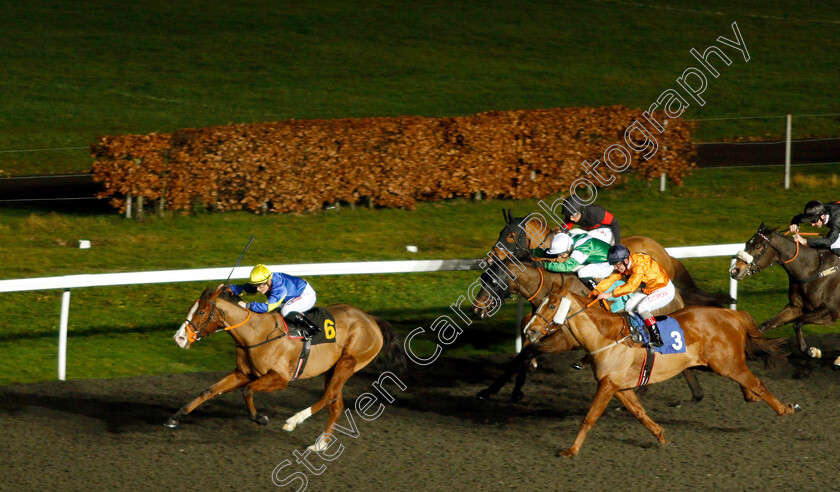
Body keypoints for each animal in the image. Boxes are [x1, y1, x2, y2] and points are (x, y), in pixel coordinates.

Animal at [168, 284, 404, 450]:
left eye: (201, 312)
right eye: (190, 309)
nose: (179, 338)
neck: (255, 332)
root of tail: (371, 319)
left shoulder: (280, 378)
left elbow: (248, 391)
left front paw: (259, 418)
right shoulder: (243, 373)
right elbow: (209, 390)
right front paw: (175, 417)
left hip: (348, 362)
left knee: (329, 396)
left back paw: (293, 421)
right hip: (332, 367)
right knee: (335, 403)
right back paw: (320, 444)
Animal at [472, 262, 704, 404]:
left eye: (493, 282)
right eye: (483, 279)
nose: (476, 309)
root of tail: (677, 296)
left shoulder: (564, 340)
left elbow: (529, 353)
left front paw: (502, 391)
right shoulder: (538, 328)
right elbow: (522, 355)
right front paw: (502, 390)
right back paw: (696, 394)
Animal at [520, 282, 796, 460]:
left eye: (552, 305)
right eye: (540, 303)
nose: (529, 331)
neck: (605, 337)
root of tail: (731, 314)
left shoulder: (607, 385)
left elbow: (589, 418)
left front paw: (570, 451)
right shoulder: (619, 386)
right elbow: (639, 413)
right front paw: (661, 436)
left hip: (728, 364)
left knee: (757, 384)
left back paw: (785, 409)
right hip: (724, 364)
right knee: (750, 389)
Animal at [728, 224, 840, 358]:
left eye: (758, 246)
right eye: (746, 244)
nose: (735, 270)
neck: (813, 270)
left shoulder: (830, 312)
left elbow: (797, 323)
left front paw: (812, 351)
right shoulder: (795, 308)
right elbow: (765, 325)